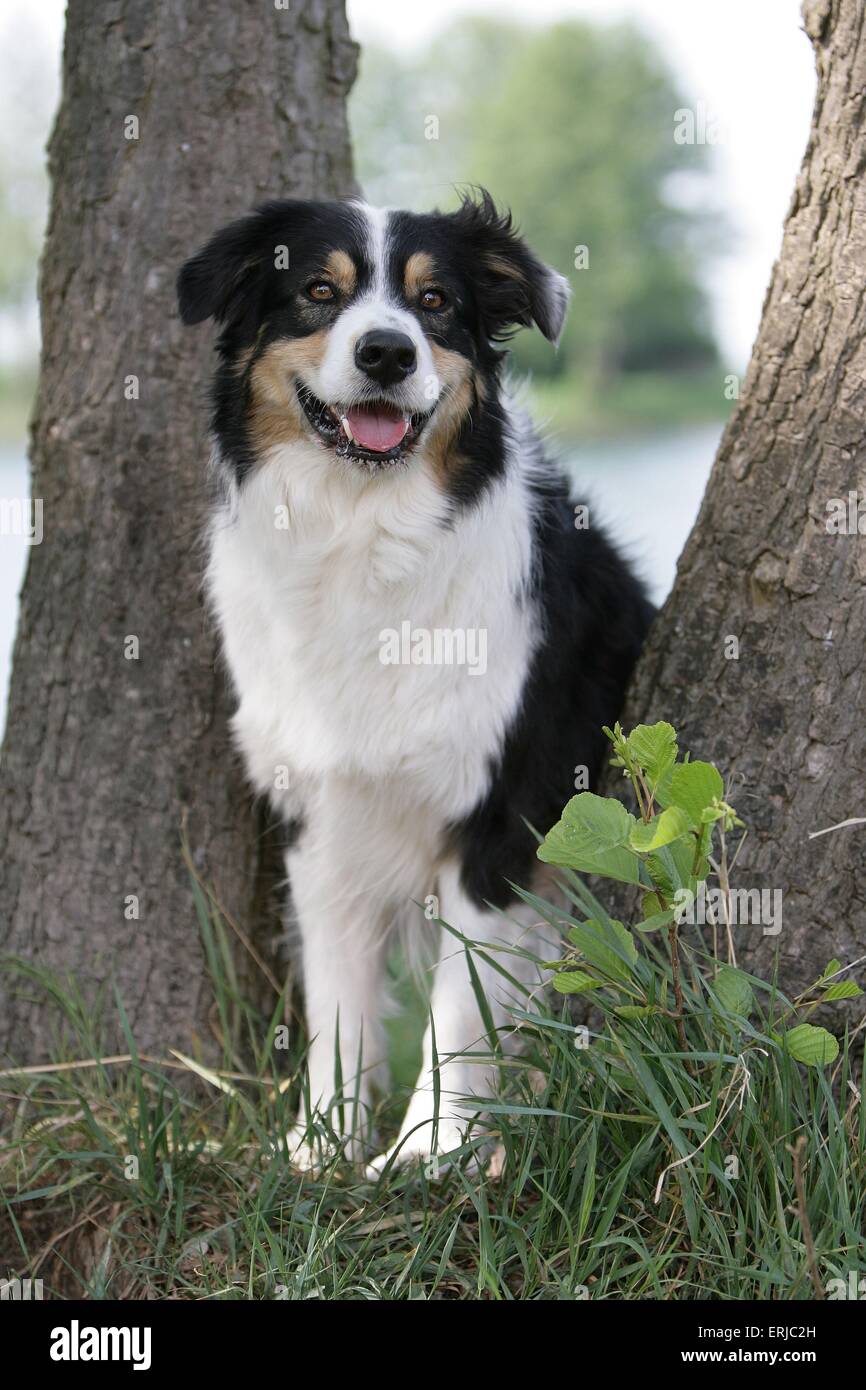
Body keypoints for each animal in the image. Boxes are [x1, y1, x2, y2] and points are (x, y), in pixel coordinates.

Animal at [177, 190, 650, 1167]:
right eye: (318, 291)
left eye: (435, 303)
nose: (387, 352)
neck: (362, 532)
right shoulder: (318, 815)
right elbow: (337, 1000)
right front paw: (322, 1149)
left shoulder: (504, 816)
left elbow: (461, 1006)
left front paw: (430, 1152)